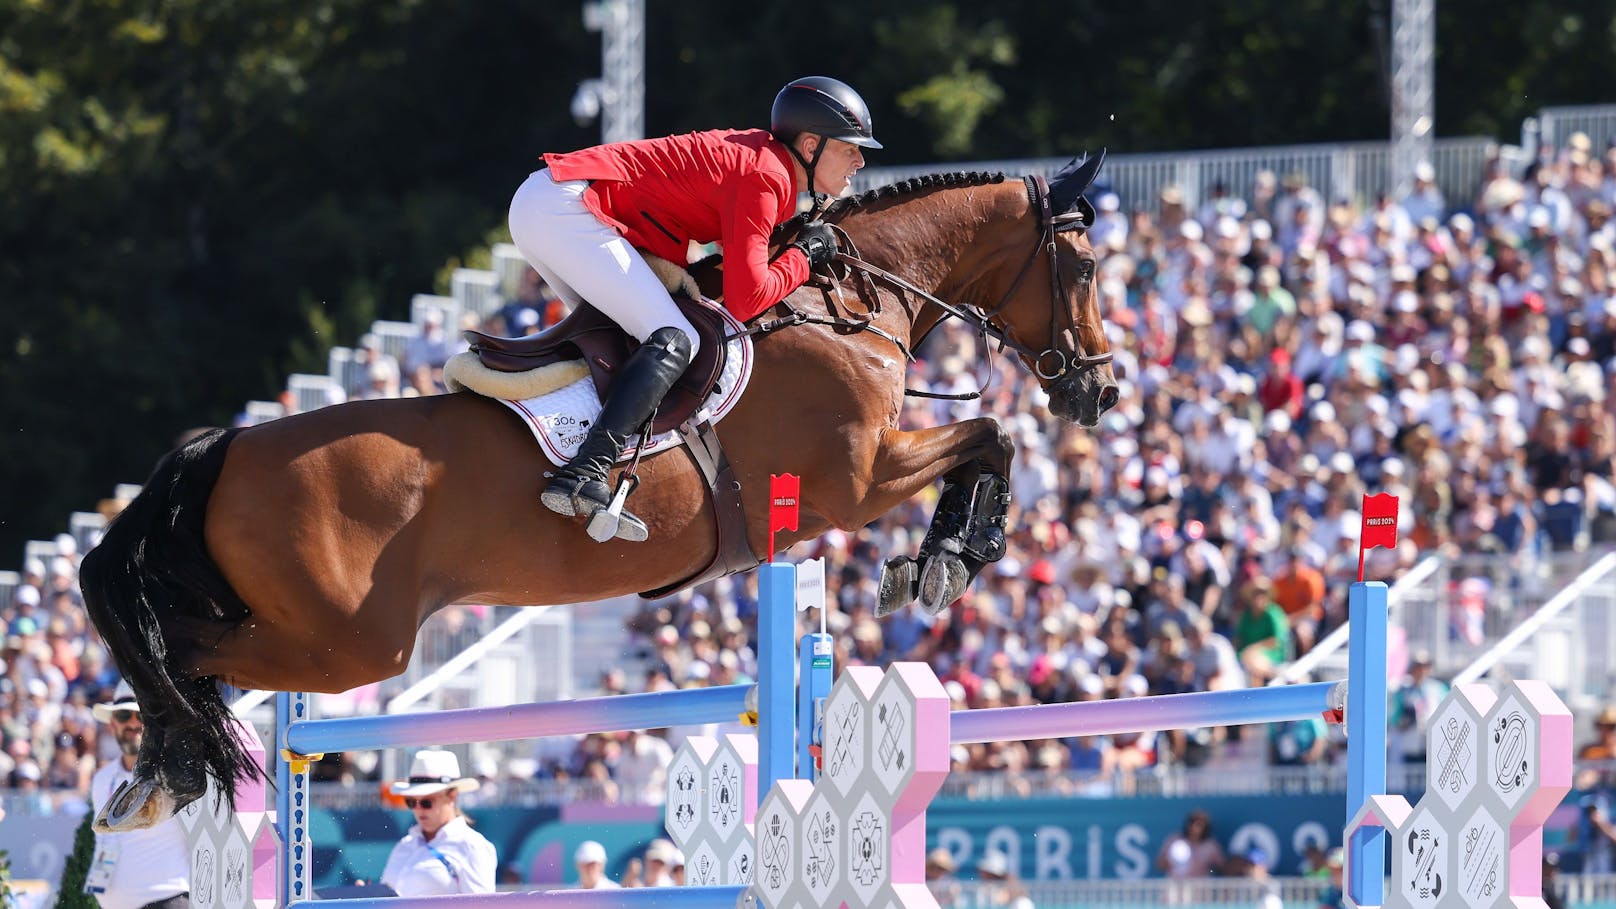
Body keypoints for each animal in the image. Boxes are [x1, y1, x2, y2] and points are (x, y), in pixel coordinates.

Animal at [82, 155, 1118, 828]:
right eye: (1084, 265)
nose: (1101, 391)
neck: (848, 304)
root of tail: (222, 446)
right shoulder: (856, 479)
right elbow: (991, 437)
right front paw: (947, 561)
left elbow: (989, 441)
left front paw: (937, 561)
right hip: (348, 644)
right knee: (179, 651)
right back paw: (169, 763)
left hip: (318, 633)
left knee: (172, 649)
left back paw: (157, 775)